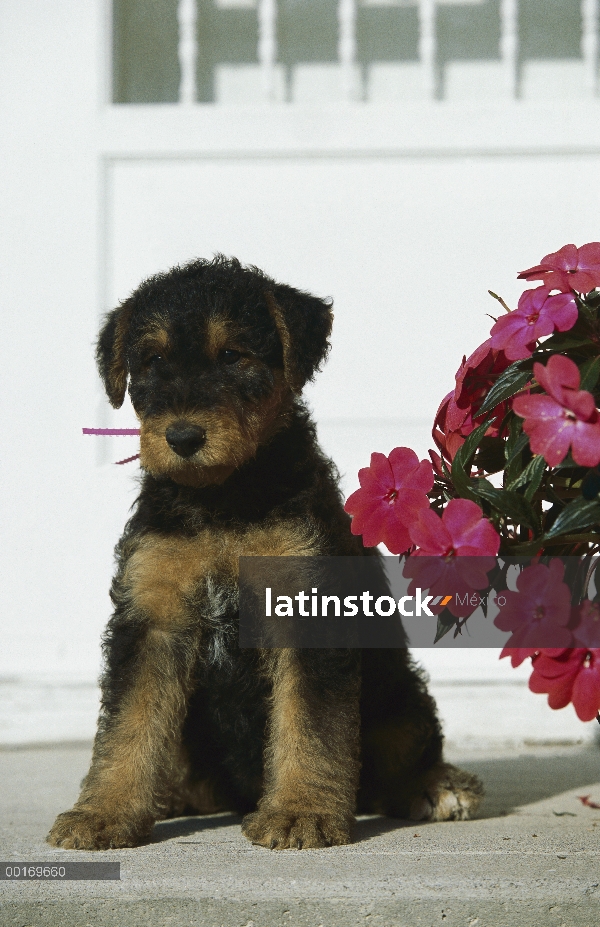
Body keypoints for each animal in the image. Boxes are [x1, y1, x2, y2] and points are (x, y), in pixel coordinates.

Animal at [47, 258, 480, 852]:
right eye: (152, 361)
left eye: (233, 355)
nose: (183, 438)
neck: (222, 501)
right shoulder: (152, 617)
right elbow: (128, 725)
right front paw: (102, 813)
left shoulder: (308, 606)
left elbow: (309, 726)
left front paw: (300, 813)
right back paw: (167, 798)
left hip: (397, 694)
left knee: (406, 750)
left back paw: (439, 787)